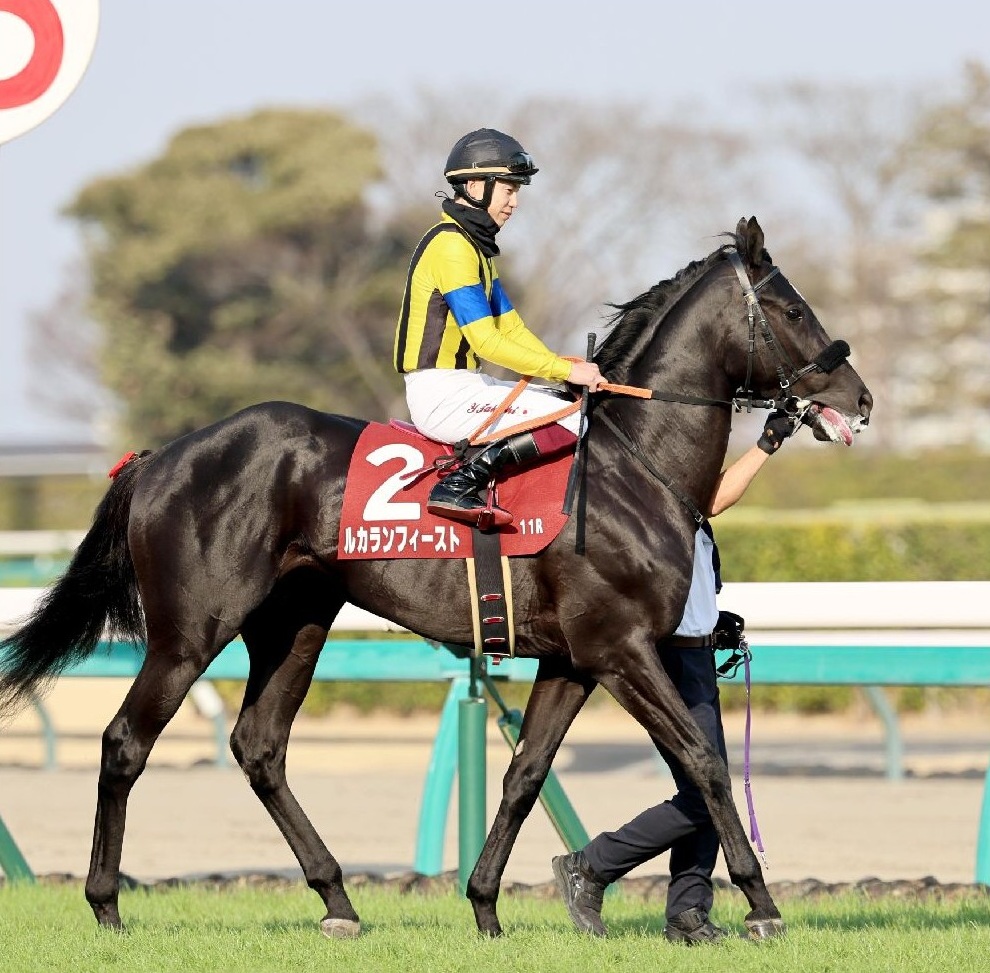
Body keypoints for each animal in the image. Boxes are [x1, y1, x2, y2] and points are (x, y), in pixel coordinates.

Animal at [0, 216, 871, 939]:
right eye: (793, 309)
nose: (858, 398)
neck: (632, 463)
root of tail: (158, 458)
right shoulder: (620, 648)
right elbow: (702, 760)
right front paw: (760, 901)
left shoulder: (572, 658)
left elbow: (525, 773)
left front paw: (487, 904)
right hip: (189, 632)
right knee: (126, 740)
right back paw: (106, 903)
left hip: (295, 622)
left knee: (260, 746)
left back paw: (338, 900)